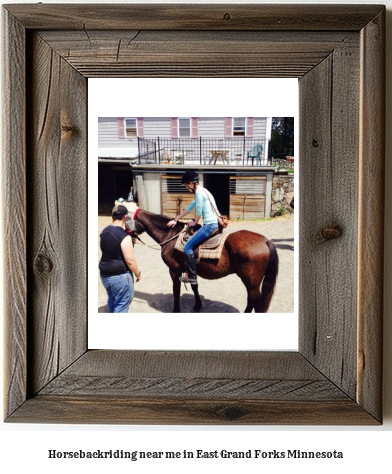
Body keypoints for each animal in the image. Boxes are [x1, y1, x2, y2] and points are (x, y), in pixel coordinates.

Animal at [127, 208, 278, 312]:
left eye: (127, 220)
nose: (129, 238)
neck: (171, 235)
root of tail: (265, 241)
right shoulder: (190, 270)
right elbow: (194, 287)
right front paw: (197, 305)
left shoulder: (173, 270)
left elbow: (176, 290)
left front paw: (176, 310)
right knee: (251, 300)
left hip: (251, 283)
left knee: (254, 301)